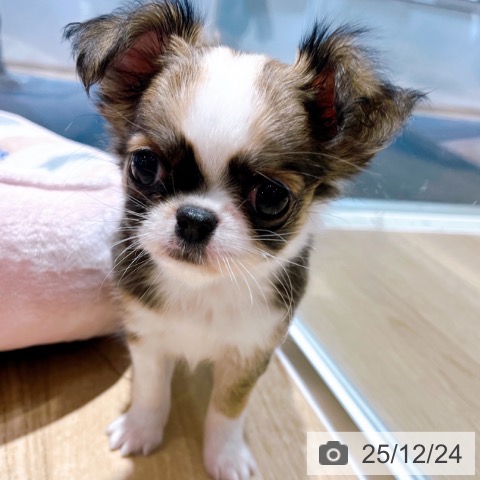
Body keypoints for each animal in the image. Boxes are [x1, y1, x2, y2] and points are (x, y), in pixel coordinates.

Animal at [65, 1, 421, 478]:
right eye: (143, 166)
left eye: (271, 197)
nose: (194, 218)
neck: (203, 291)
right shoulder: (148, 337)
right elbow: (151, 390)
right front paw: (141, 430)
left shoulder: (250, 354)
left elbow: (227, 410)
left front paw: (226, 457)